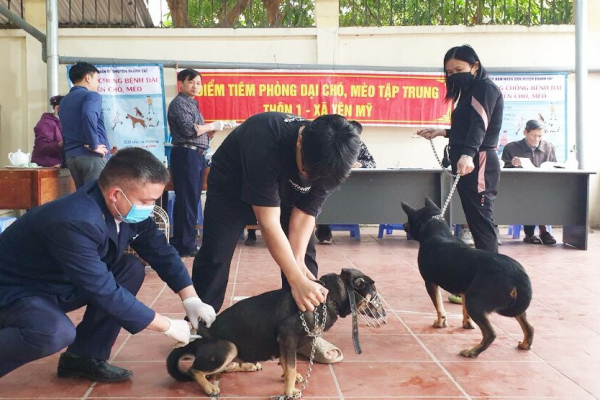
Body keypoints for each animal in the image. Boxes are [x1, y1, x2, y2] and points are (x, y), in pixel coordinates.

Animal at [166, 268, 386, 396]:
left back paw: (248, 366)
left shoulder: (284, 342)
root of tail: (196, 340)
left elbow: (287, 364)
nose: (385, 314)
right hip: (228, 347)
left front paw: (292, 377)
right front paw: (289, 391)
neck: (329, 296)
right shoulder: (287, 336)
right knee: (195, 370)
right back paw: (210, 387)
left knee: (222, 369)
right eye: (375, 296)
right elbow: (290, 368)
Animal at [404, 198, 536, 358]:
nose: (403, 225)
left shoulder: (430, 282)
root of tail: (518, 274)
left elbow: (439, 306)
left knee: (490, 334)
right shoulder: (464, 290)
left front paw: (440, 323)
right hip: (512, 305)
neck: (436, 231)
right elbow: (464, 310)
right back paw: (525, 345)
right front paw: (467, 324)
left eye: (409, 220)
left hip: (476, 302)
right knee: (529, 327)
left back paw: (472, 351)